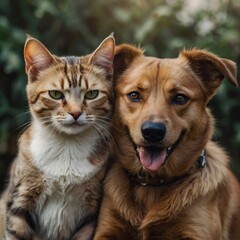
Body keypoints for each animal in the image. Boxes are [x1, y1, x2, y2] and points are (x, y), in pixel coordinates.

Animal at [0, 34, 115, 240]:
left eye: (92, 94)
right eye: (55, 94)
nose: (76, 113)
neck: (67, 147)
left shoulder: (89, 211)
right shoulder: (20, 201)